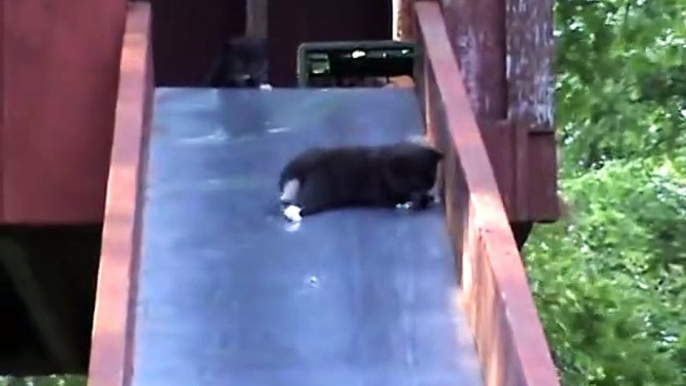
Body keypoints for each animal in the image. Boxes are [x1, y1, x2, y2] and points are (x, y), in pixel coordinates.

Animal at [276, 139, 444, 223]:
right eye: (415, 180)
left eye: (431, 178)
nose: (428, 187)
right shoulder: (388, 192)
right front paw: (418, 202)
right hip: (322, 192)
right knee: (305, 205)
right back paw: (292, 213)